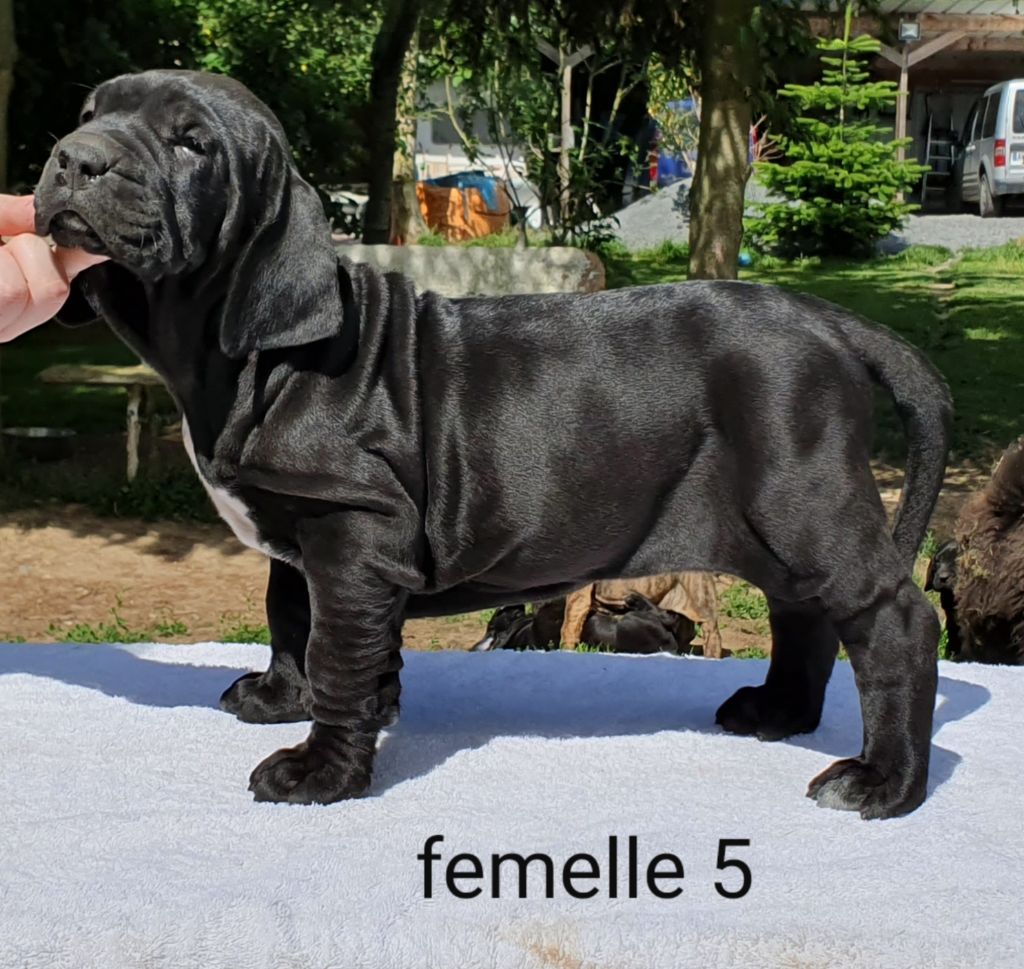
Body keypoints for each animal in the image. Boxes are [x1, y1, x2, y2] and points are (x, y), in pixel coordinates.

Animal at [471, 592, 697, 654]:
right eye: (499, 614)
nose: (505, 604)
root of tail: (670, 646)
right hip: (631, 623)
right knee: (666, 616)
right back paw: (635, 599)